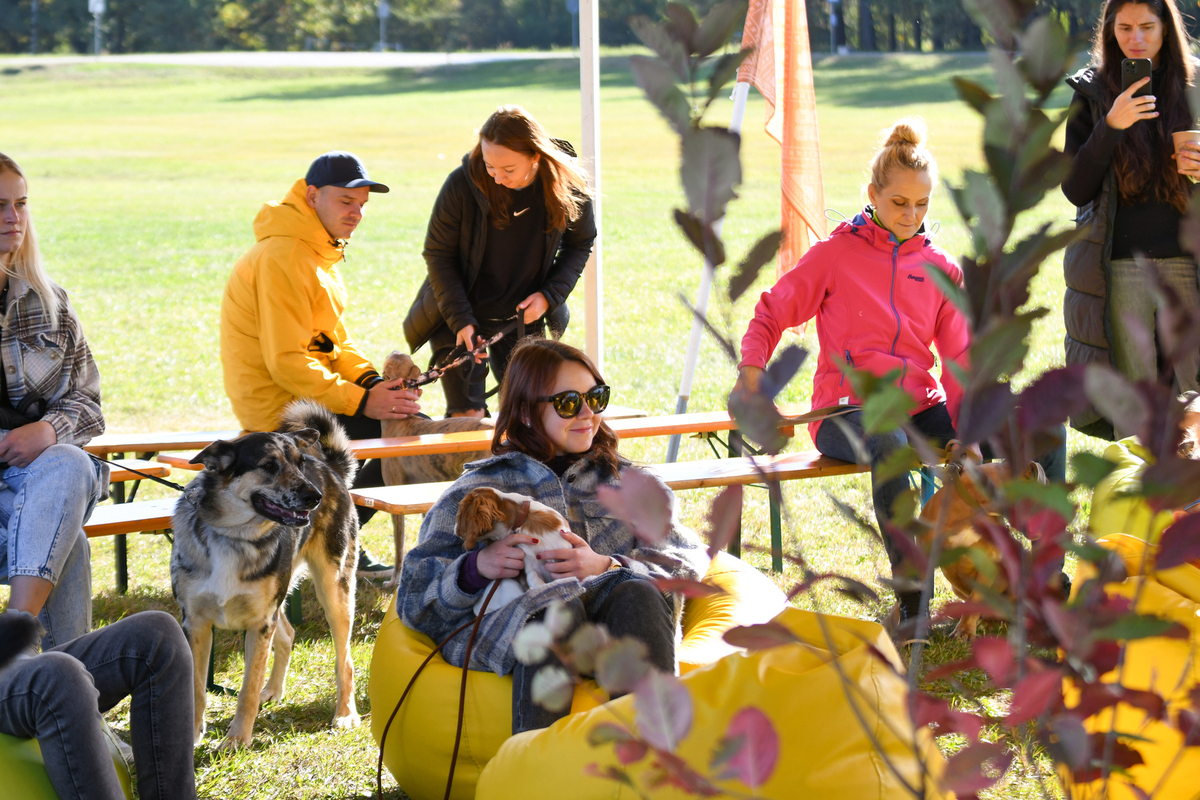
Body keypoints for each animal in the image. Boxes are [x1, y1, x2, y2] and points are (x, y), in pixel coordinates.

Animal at [171, 400, 360, 753]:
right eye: (269, 465)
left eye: (300, 463)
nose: (314, 496)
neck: (234, 535)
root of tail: (330, 469)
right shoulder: (196, 624)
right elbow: (196, 688)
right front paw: (191, 735)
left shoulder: (259, 624)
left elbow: (246, 689)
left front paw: (236, 740)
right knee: (287, 635)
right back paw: (273, 690)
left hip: (334, 592)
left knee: (345, 661)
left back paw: (345, 713)